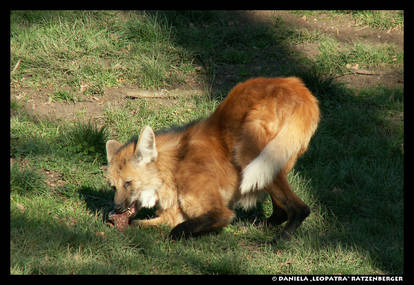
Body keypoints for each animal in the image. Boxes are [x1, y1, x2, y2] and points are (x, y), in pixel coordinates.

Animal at [106, 76, 320, 240]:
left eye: (128, 183)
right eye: (113, 187)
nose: (116, 208)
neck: (175, 167)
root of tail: (297, 87)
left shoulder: (219, 212)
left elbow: (178, 230)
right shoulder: (174, 214)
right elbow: (140, 223)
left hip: (250, 155)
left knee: (301, 208)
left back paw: (280, 239)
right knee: (282, 208)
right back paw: (263, 226)